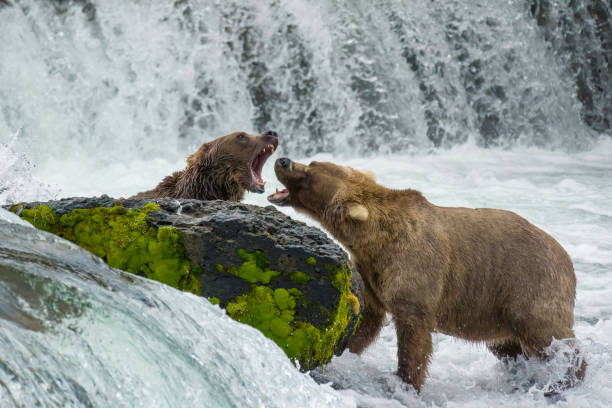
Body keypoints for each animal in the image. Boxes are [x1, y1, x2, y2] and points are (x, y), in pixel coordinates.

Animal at [268, 157, 584, 392]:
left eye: (310, 172)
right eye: (313, 161)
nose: (283, 160)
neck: (374, 241)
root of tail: (566, 256)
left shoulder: (416, 271)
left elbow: (414, 336)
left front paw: (406, 382)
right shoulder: (372, 274)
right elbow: (367, 320)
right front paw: (344, 352)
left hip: (530, 284)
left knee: (547, 335)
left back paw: (567, 379)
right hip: (495, 309)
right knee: (507, 346)